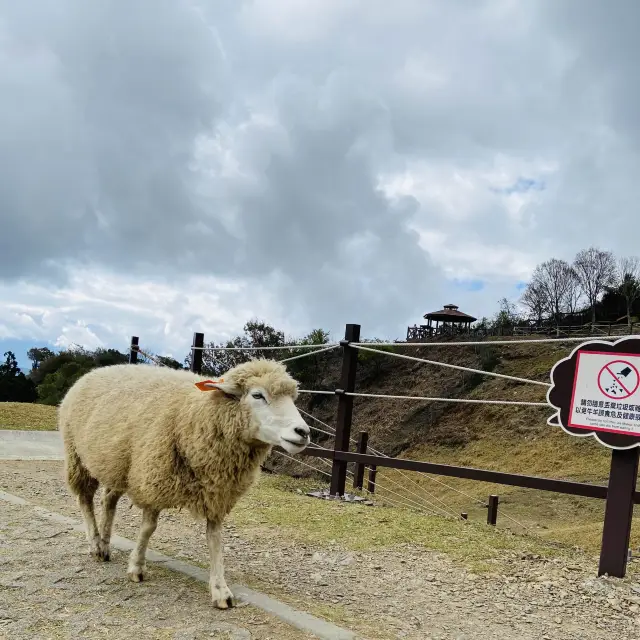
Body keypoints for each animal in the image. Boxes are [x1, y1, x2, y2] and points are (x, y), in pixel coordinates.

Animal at [57, 358, 312, 608]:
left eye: (292, 399)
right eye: (257, 395)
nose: (303, 432)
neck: (197, 414)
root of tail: (91, 373)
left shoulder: (217, 492)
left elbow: (215, 539)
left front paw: (220, 590)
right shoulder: (152, 478)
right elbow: (148, 528)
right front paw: (136, 567)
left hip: (118, 464)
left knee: (108, 500)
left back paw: (105, 543)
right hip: (77, 455)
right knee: (85, 499)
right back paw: (95, 545)